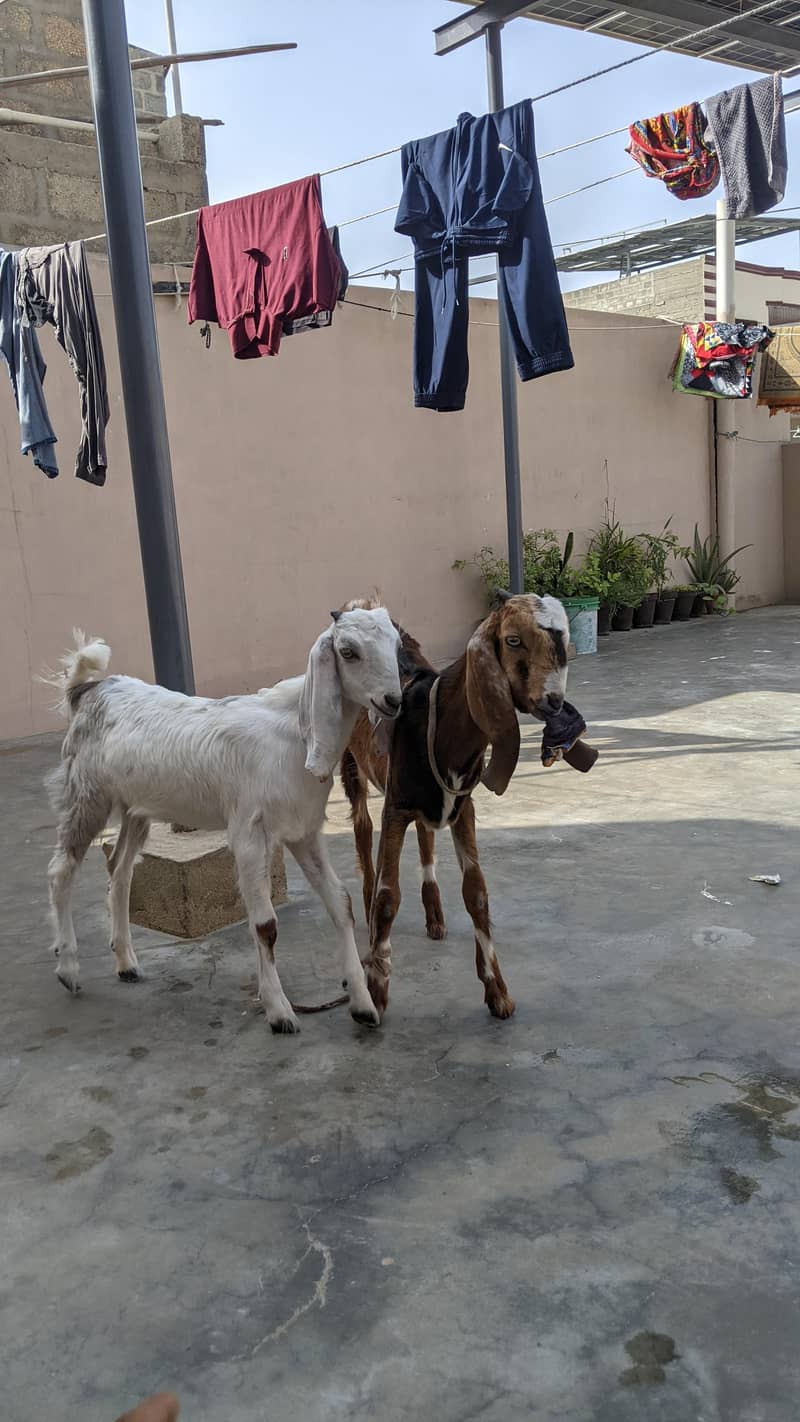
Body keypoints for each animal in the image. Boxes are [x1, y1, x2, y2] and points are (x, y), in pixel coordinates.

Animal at [46, 608, 402, 1034]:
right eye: (348, 652)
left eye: (396, 643)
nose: (393, 700)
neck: (294, 734)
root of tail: (89, 690)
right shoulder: (248, 832)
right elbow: (265, 925)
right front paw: (279, 1011)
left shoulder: (304, 831)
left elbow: (341, 902)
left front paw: (363, 1004)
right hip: (87, 794)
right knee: (62, 870)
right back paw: (68, 969)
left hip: (135, 807)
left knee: (120, 869)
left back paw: (126, 963)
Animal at [341, 592, 571, 1021]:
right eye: (513, 640)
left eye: (563, 638)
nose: (553, 701)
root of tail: (360, 605)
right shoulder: (396, 805)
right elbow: (388, 897)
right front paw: (375, 991)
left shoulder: (463, 806)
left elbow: (476, 893)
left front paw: (497, 991)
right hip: (350, 761)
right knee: (362, 826)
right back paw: (365, 910)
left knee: (425, 833)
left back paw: (434, 916)